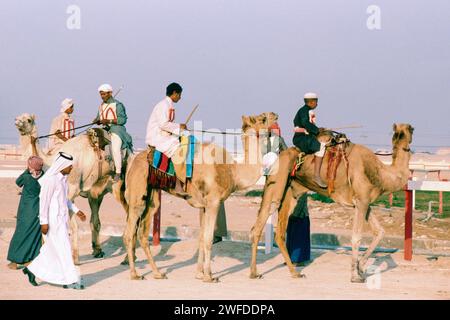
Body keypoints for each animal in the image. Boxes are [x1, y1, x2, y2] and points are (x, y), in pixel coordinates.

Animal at [14, 114, 118, 264]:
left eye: (29, 120)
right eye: (19, 116)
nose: (17, 121)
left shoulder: (71, 191)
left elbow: (69, 224)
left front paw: (74, 259)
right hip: (96, 193)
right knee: (95, 219)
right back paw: (97, 250)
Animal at [118, 112, 276, 280]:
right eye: (262, 118)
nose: (275, 115)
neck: (232, 171)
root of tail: (132, 161)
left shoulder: (204, 205)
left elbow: (201, 238)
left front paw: (200, 273)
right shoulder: (214, 202)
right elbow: (208, 239)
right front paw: (209, 276)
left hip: (151, 195)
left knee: (142, 232)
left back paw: (158, 273)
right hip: (137, 192)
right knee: (128, 233)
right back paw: (134, 274)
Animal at [248, 122, 414, 282]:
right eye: (409, 130)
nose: (407, 141)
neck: (380, 174)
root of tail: (276, 158)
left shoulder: (365, 203)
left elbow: (380, 232)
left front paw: (360, 268)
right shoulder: (361, 201)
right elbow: (356, 237)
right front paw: (355, 276)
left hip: (289, 191)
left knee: (278, 232)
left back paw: (293, 273)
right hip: (278, 181)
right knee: (261, 221)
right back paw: (255, 273)